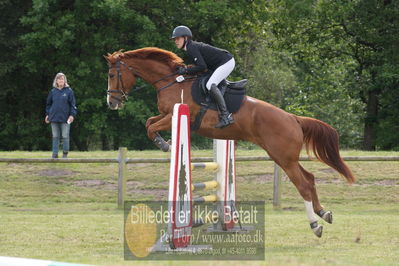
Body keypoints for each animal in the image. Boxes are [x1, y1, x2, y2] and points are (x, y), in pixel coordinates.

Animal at [104, 46, 354, 238]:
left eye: (112, 75)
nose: (112, 103)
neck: (172, 82)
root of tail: (293, 118)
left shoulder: (177, 115)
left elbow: (151, 127)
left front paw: (165, 144)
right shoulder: (166, 115)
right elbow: (149, 122)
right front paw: (164, 143)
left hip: (283, 158)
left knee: (303, 184)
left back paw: (315, 225)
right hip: (284, 157)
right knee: (310, 179)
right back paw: (324, 213)